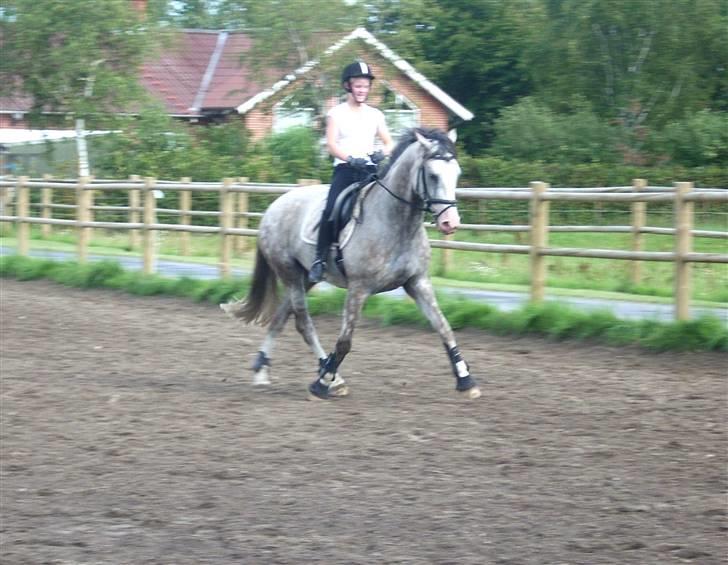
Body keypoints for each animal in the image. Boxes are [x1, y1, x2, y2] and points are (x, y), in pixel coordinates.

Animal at [225, 128, 480, 400]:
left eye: (457, 173)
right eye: (432, 175)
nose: (450, 223)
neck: (396, 223)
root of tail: (273, 207)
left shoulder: (417, 282)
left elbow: (444, 327)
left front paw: (466, 380)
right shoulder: (359, 288)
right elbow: (345, 341)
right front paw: (321, 384)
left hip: (305, 278)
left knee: (282, 316)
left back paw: (264, 369)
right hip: (290, 273)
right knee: (303, 323)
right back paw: (330, 378)